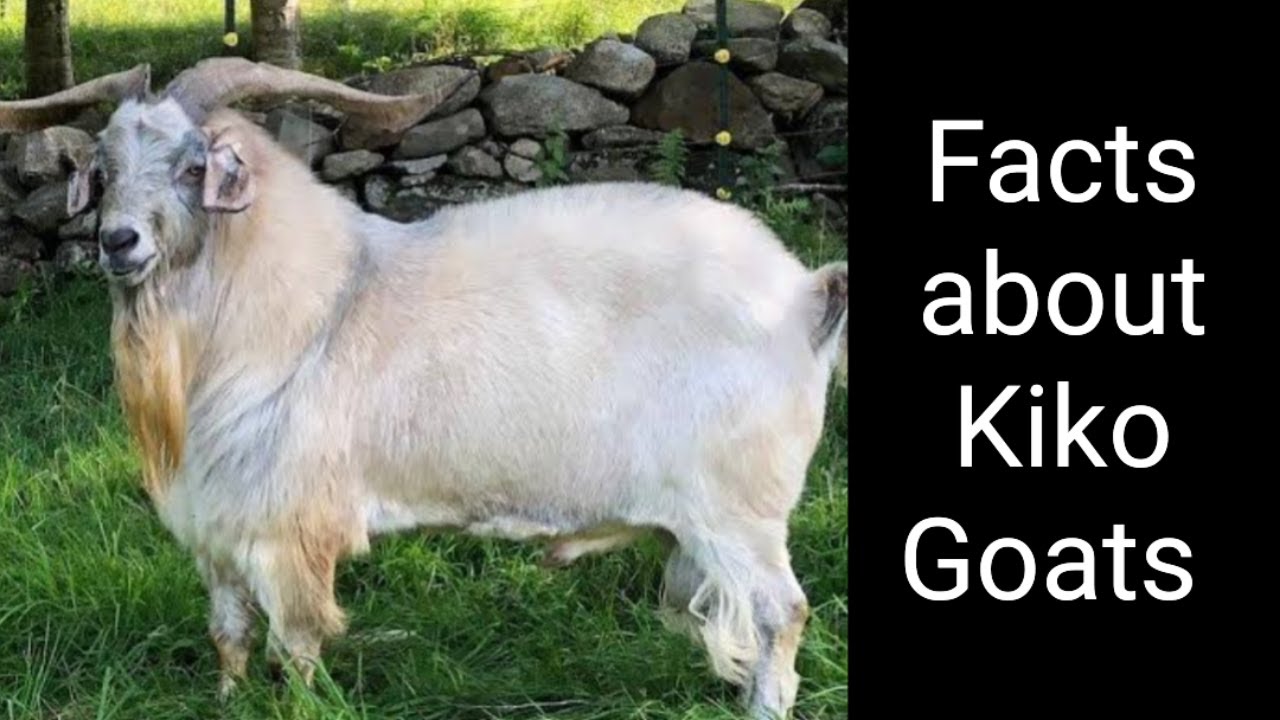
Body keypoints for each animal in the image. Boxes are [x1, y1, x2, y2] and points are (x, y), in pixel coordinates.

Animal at [1, 60, 848, 719]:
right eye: (105, 169)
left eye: (190, 166)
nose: (118, 242)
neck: (314, 308)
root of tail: (801, 295)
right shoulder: (220, 525)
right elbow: (230, 636)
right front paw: (226, 702)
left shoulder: (289, 527)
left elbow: (294, 648)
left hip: (739, 510)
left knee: (782, 613)